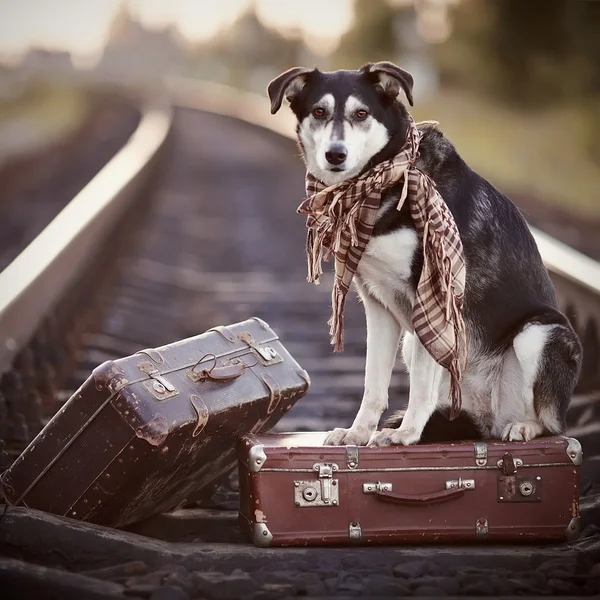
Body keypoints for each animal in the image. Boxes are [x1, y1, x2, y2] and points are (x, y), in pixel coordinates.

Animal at [270, 63, 584, 446]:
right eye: (319, 112)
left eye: (361, 114)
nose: (335, 154)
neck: (381, 179)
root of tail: (487, 418)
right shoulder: (377, 305)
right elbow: (373, 383)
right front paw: (358, 433)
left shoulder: (431, 297)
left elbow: (420, 384)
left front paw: (406, 434)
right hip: (415, 344)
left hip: (540, 333)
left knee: (551, 421)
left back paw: (523, 426)